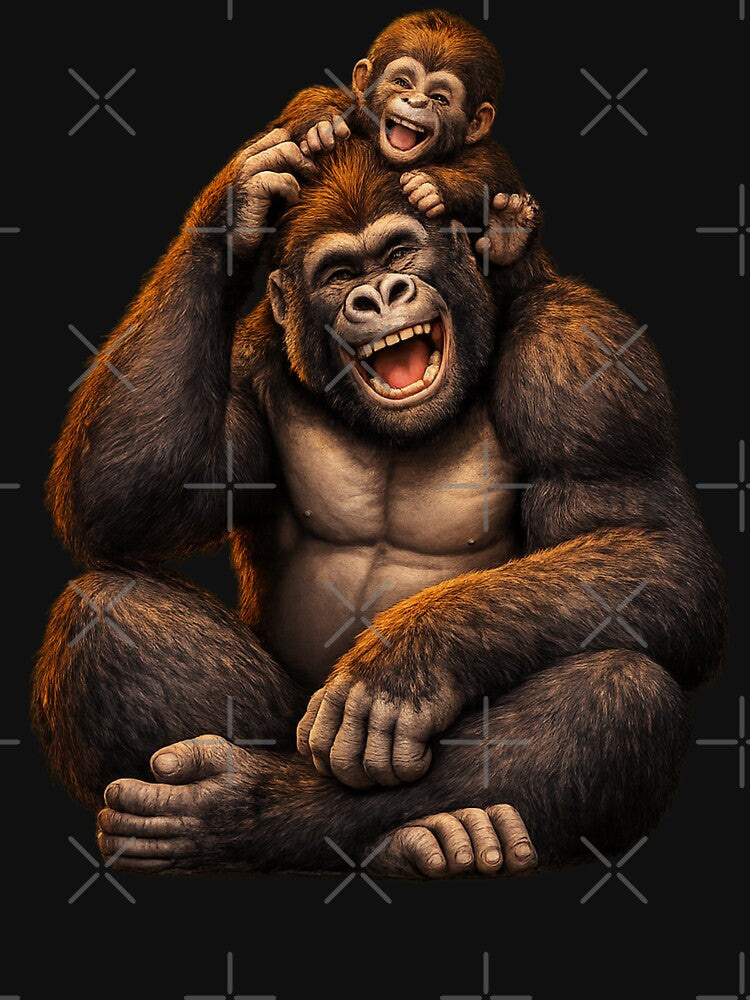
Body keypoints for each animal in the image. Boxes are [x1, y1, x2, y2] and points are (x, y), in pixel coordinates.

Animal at [32, 131, 726, 878]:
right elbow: (131, 496)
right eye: (339, 272)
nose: (378, 293)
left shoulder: (586, 358)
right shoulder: (245, 362)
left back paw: (271, 815)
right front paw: (238, 202)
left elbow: (650, 545)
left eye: (398, 253)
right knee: (110, 612)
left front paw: (406, 663)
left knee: (620, 686)